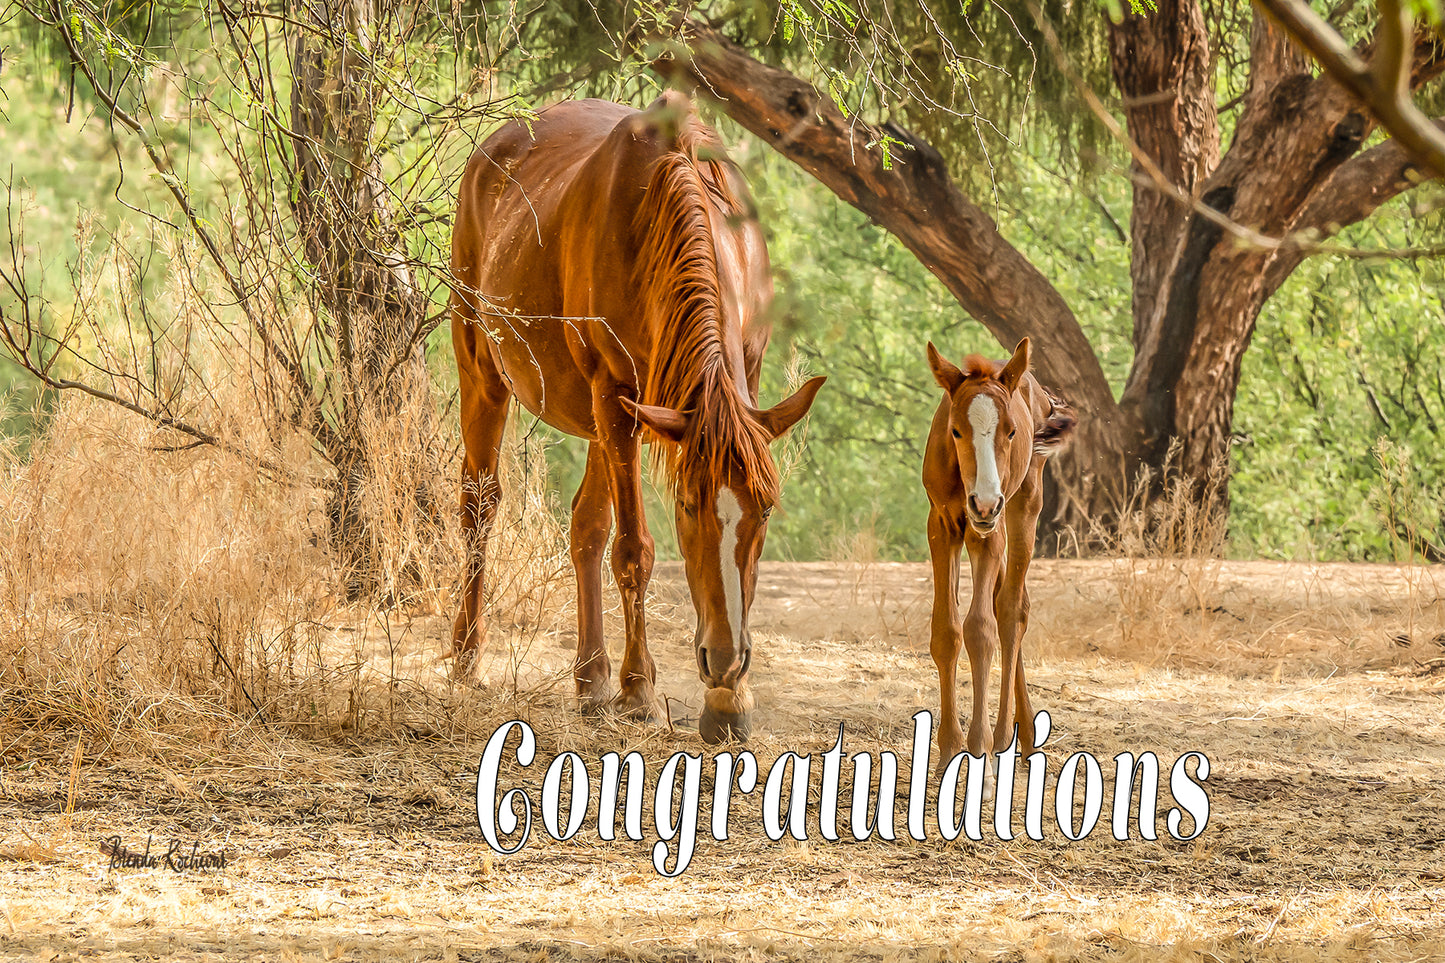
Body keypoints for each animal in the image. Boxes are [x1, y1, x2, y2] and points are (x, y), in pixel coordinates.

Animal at [448, 92, 825, 744]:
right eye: (688, 506)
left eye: (766, 510)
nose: (724, 660)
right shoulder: (616, 393)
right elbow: (634, 550)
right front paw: (639, 690)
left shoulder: (735, 382)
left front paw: (730, 699)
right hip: (486, 373)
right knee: (480, 503)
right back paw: (470, 656)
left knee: (585, 524)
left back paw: (590, 678)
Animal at [921, 338, 1077, 776]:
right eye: (956, 430)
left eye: (1010, 431)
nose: (986, 502)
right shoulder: (942, 525)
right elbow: (947, 631)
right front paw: (948, 749)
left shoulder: (986, 534)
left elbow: (980, 630)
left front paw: (979, 751)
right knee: (1007, 601)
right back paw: (1024, 734)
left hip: (1021, 505)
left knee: (1011, 611)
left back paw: (1005, 737)